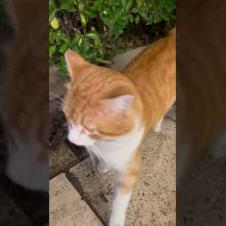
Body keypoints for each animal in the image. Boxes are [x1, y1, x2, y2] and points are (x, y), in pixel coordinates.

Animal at [63, 28, 177, 226]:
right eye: (68, 120)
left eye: (88, 128)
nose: (71, 140)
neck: (107, 142)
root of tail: (170, 37)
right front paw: (103, 165)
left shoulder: (130, 169)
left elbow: (119, 203)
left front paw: (115, 221)